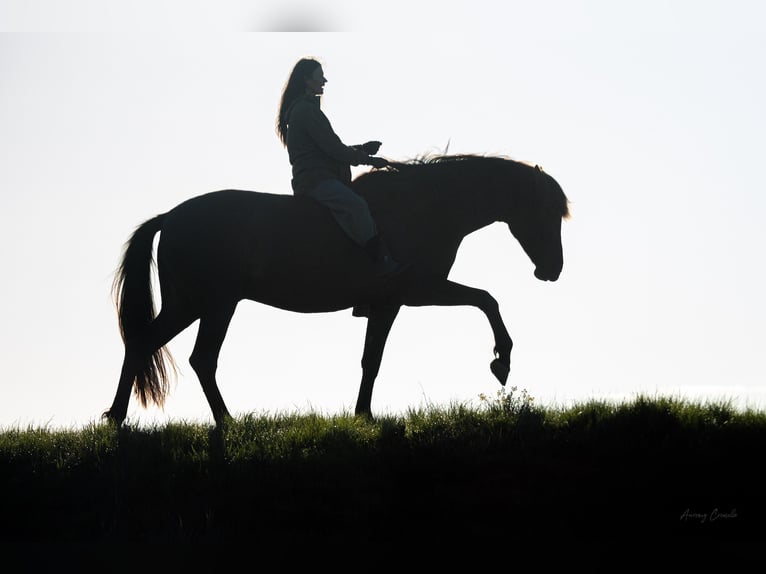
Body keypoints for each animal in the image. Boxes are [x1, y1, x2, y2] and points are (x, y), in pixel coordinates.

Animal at [103, 155, 568, 430]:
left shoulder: (389, 303)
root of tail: (170, 217)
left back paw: (120, 417)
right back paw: (223, 421)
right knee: (193, 356)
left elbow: (370, 360)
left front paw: (362, 414)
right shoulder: (417, 291)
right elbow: (487, 299)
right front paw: (502, 360)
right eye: (546, 211)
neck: (426, 206)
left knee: (149, 345)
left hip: (195, 305)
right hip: (211, 304)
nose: (552, 270)